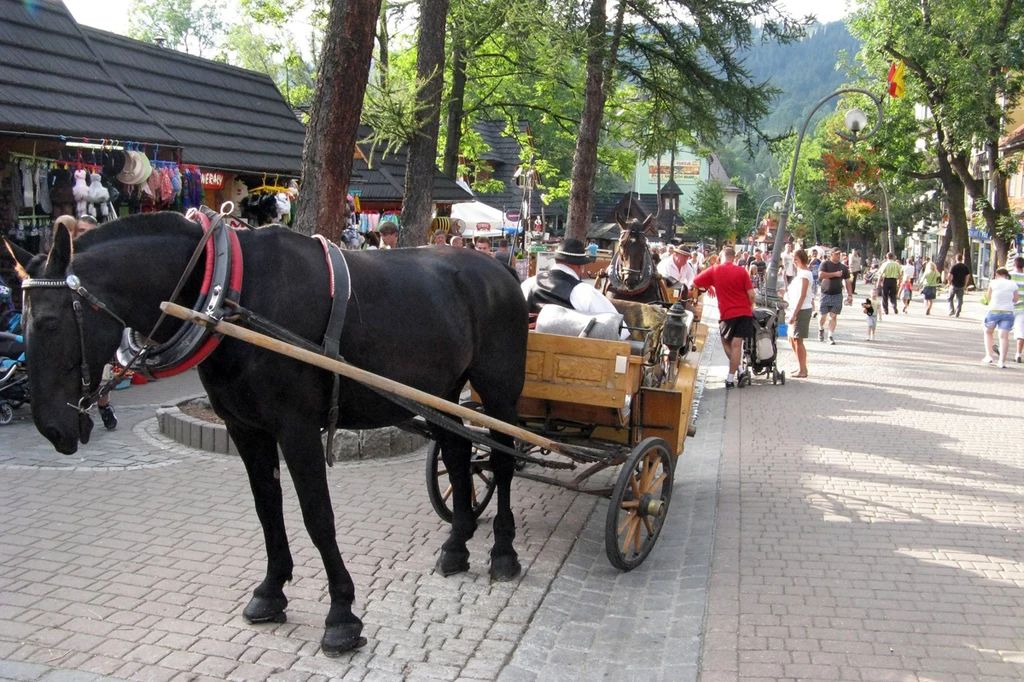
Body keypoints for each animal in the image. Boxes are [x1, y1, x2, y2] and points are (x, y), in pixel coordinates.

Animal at [8, 212, 532, 655]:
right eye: (24, 316)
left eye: (49, 321)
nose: (52, 427)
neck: (226, 295)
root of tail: (500, 268)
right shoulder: (245, 429)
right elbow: (267, 511)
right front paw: (271, 591)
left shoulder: (296, 429)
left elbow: (318, 518)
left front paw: (341, 615)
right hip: (442, 391)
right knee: (459, 452)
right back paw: (457, 544)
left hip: (498, 390)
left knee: (503, 460)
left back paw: (503, 552)